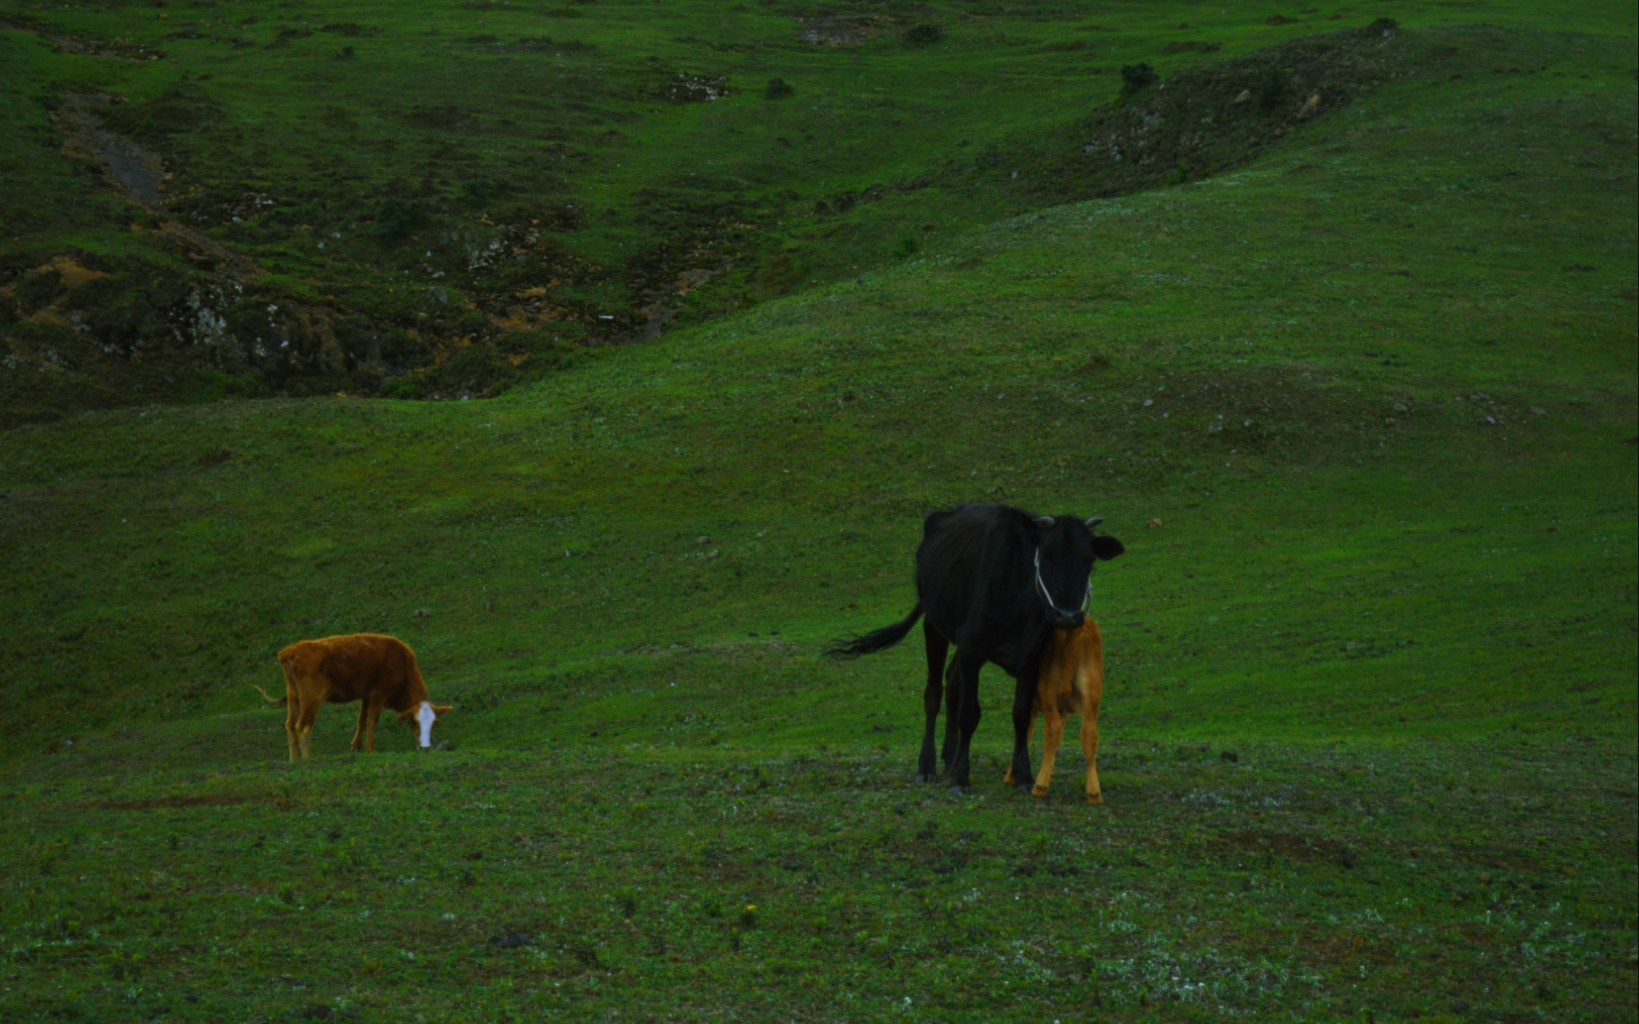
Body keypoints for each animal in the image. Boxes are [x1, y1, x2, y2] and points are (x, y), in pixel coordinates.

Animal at [249, 632, 455, 760]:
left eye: (434, 723)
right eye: (414, 722)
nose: (426, 747)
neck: (402, 663)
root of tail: (291, 651)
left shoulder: (367, 694)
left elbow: (361, 720)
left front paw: (356, 746)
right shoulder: (379, 693)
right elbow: (372, 721)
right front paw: (370, 749)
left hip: (294, 697)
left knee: (290, 725)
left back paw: (294, 760)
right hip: (311, 698)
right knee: (303, 727)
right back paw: (307, 758)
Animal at [996, 619, 1101, 802]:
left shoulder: (1031, 704)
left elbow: (1026, 733)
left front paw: (1011, 776)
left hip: (1050, 695)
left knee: (1053, 729)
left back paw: (1040, 786)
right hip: (1091, 697)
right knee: (1089, 735)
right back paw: (1094, 793)